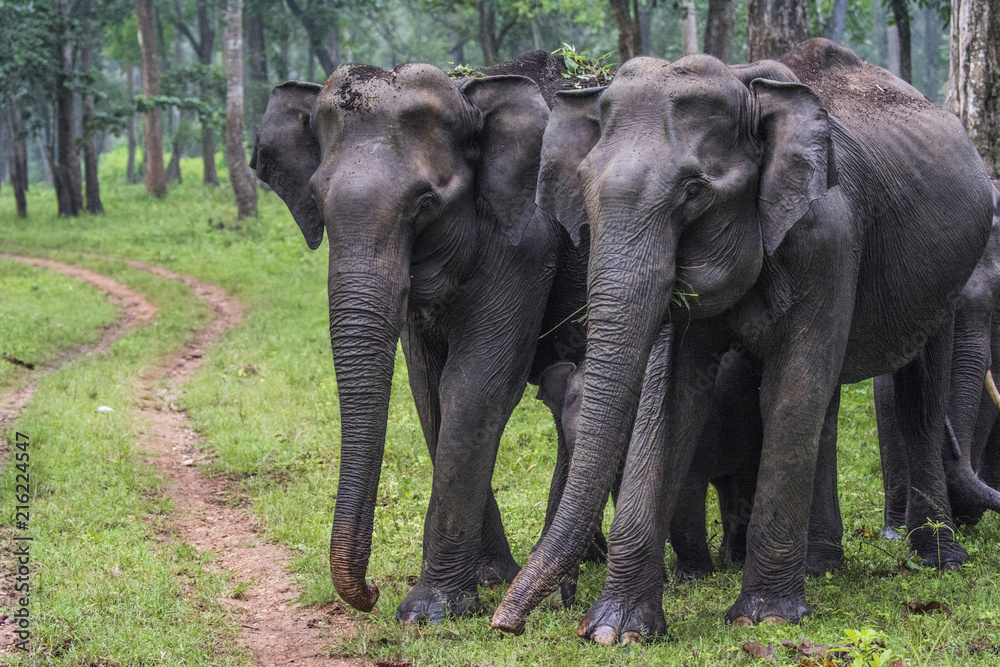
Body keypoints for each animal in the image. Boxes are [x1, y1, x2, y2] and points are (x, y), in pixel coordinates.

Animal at [250, 55, 601, 622]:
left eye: (424, 204)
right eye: (317, 203)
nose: (371, 591)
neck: (469, 92)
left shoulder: (527, 244)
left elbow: (475, 387)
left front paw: (429, 611)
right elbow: (428, 389)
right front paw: (486, 580)